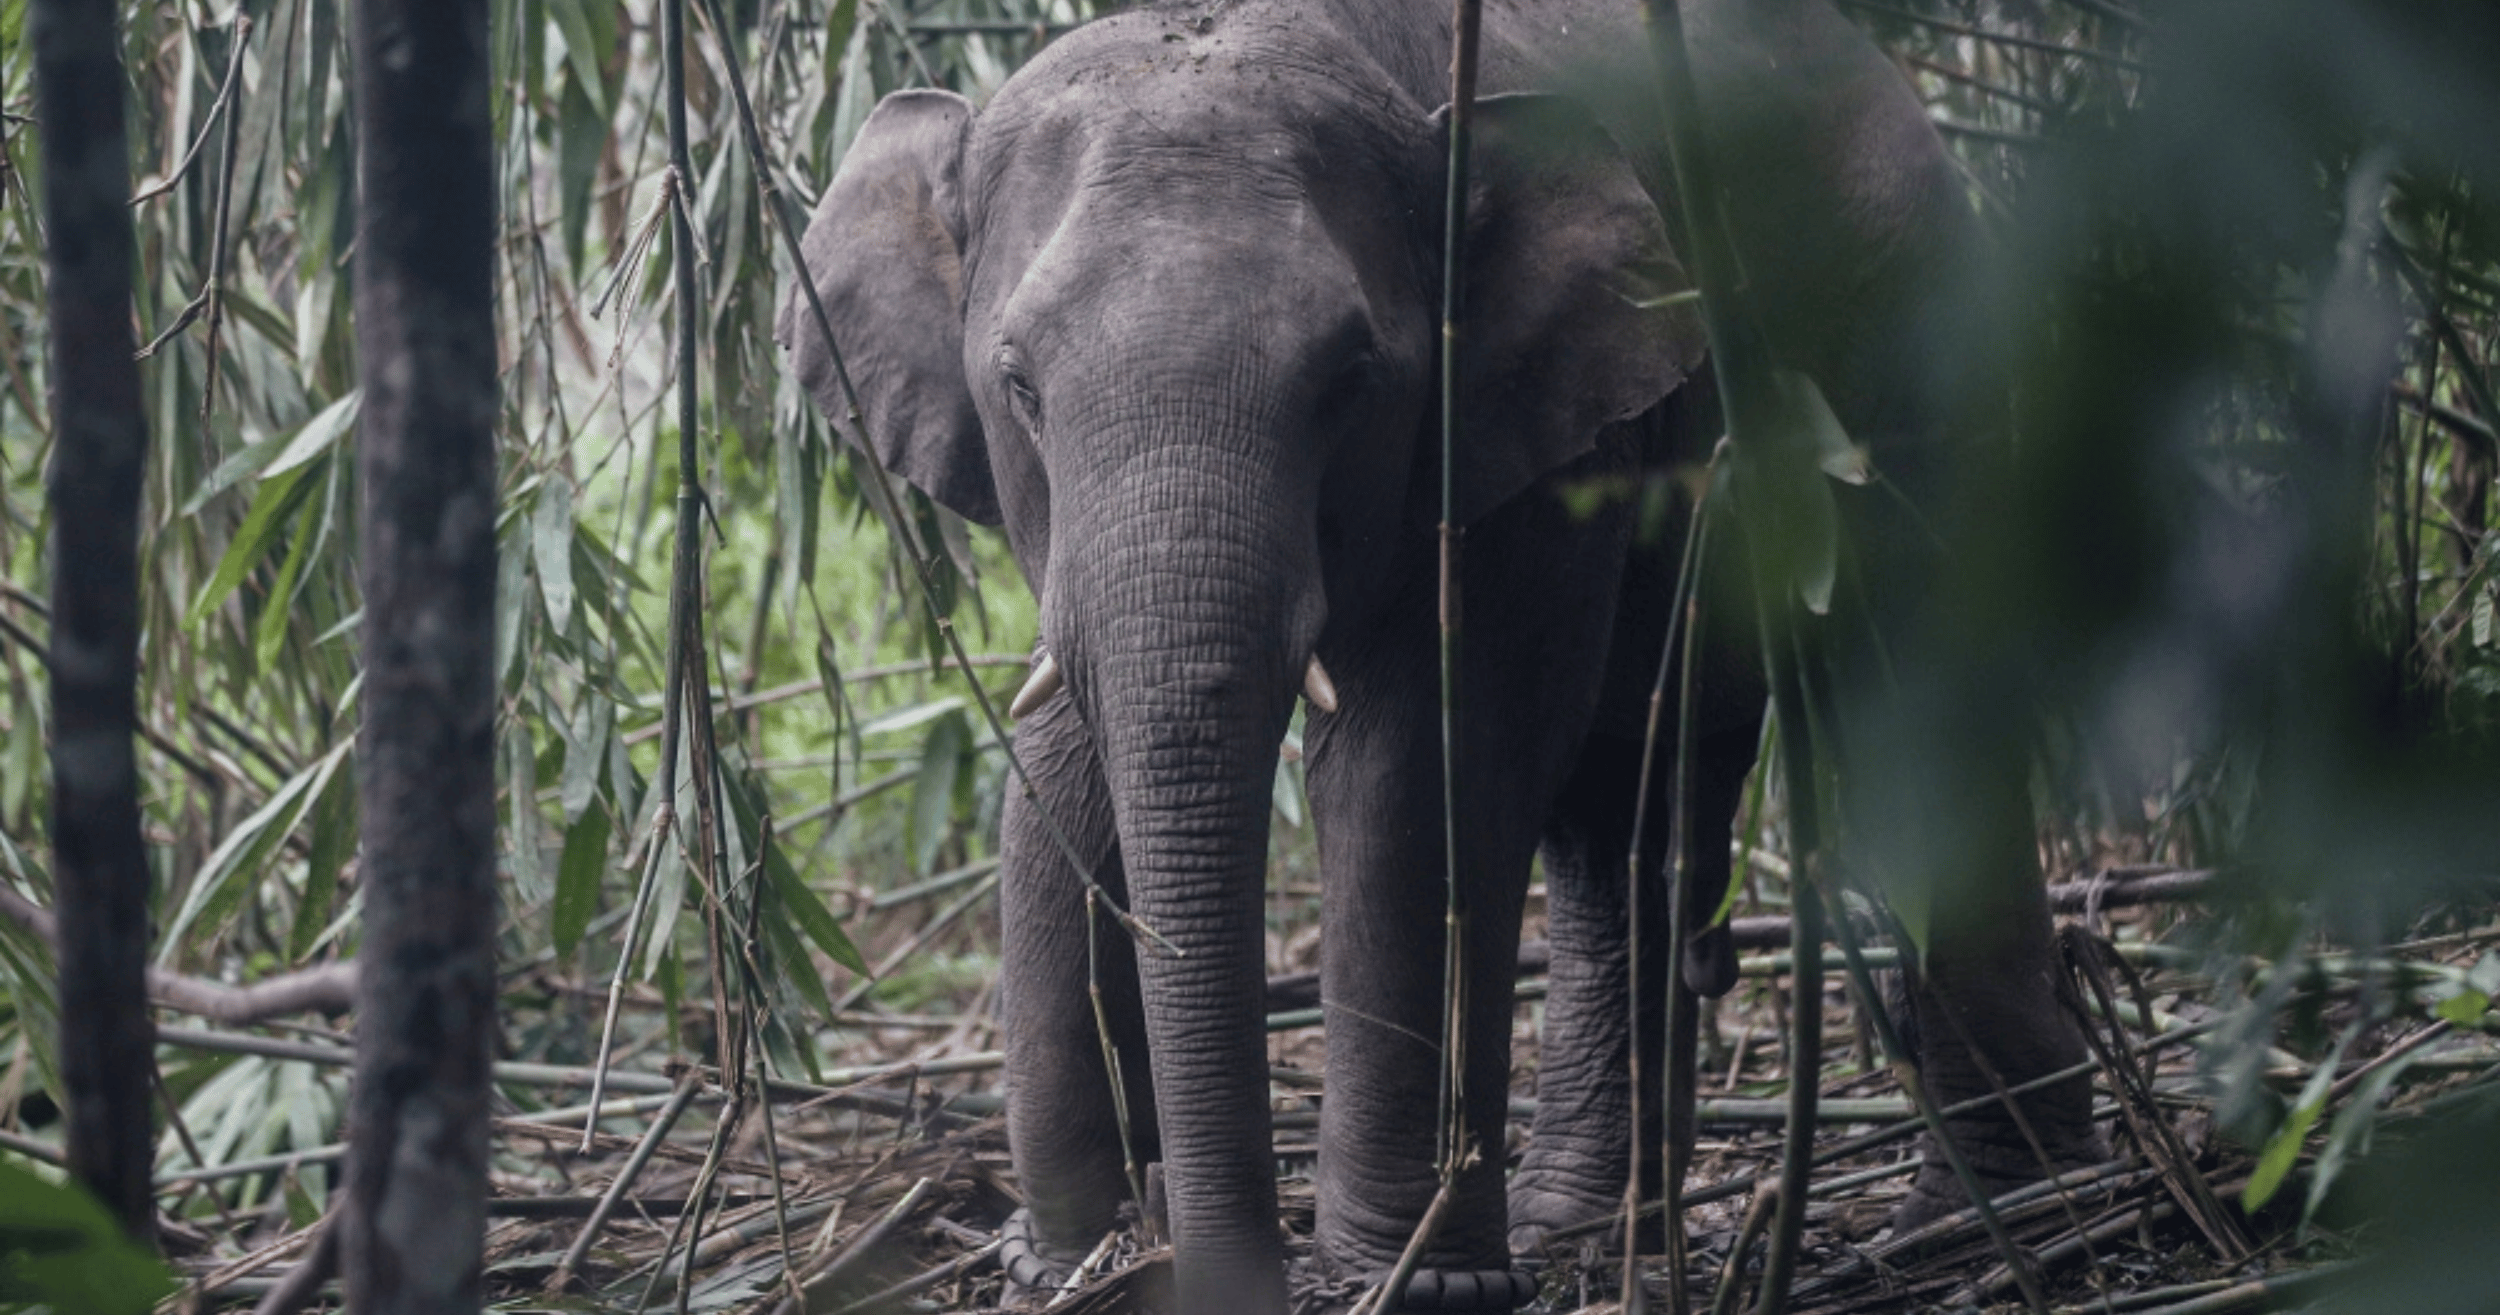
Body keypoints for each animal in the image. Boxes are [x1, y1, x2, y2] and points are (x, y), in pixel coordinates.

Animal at [779, 1, 2101, 1310]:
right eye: (1018, 385)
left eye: (1350, 379)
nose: (1183, 1256)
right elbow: (1057, 758)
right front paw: (1057, 1264)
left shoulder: (1534, 433)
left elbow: (1415, 765)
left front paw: (1417, 1285)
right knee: (1629, 808)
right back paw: (1589, 1228)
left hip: (1923, 366)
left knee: (1918, 703)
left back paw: (2005, 1212)